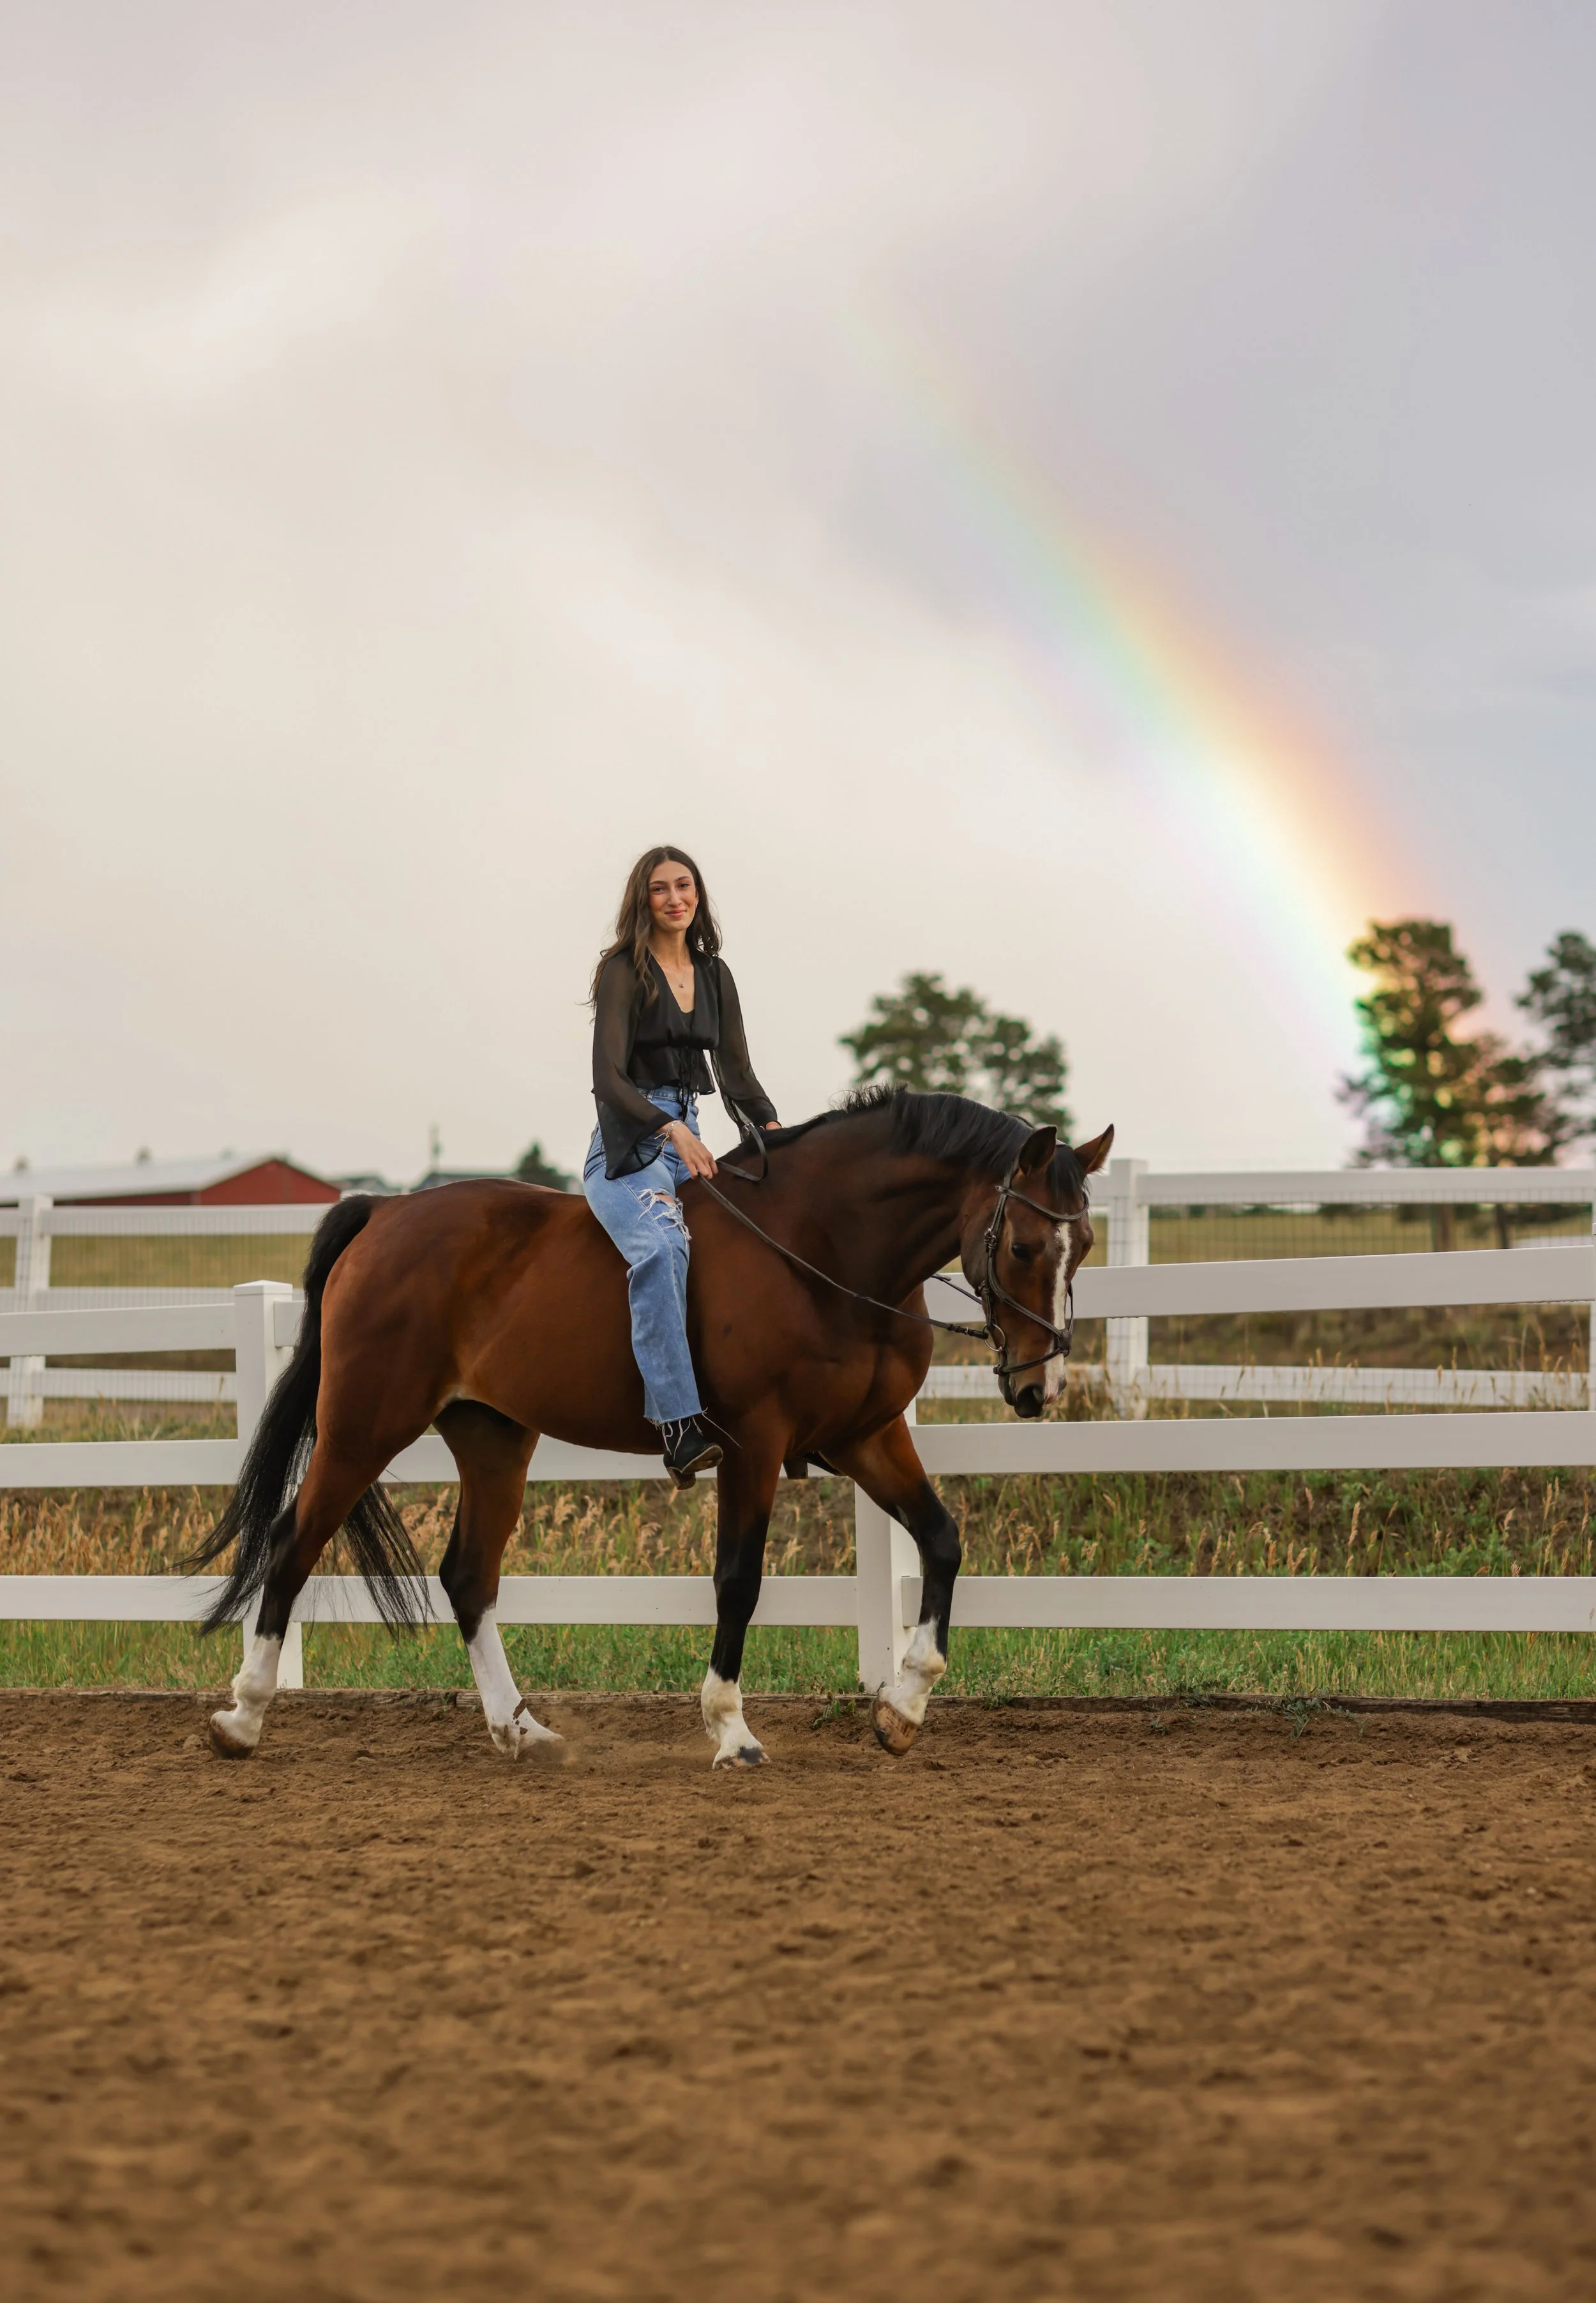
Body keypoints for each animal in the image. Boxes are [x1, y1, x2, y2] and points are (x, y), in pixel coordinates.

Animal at [191, 1088, 1112, 1768]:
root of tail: (383, 1212)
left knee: (467, 1576)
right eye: (1024, 1244)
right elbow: (738, 1579)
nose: (1040, 1384)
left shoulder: (869, 1435)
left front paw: (904, 1706)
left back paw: (519, 1728)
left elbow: (943, 1540)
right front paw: (732, 1729)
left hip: (492, 1437)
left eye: (1088, 1243)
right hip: (362, 1424)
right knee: (294, 1541)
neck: (821, 1251)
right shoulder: (754, 1444)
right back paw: (242, 1717)